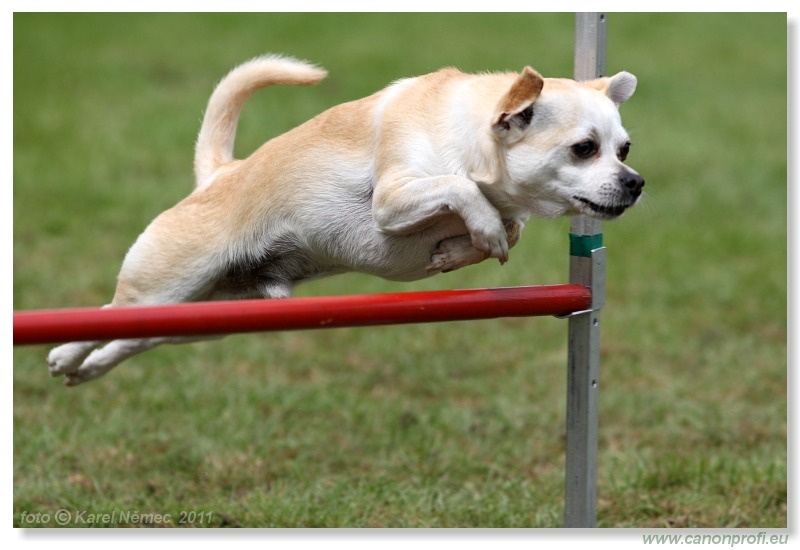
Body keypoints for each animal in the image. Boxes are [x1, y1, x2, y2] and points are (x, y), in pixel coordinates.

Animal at [45, 54, 644, 386]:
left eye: (624, 149)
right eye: (584, 149)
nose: (636, 182)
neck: (467, 135)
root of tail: (218, 175)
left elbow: (505, 226)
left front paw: (457, 250)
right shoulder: (393, 200)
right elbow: (461, 191)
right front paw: (483, 229)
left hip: (201, 316)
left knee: (133, 338)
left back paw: (87, 370)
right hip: (163, 286)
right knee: (105, 314)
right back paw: (63, 353)